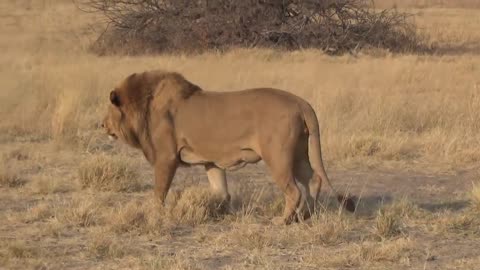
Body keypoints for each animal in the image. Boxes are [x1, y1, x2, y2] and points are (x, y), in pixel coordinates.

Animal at [102, 69, 356, 224]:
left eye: (108, 111)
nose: (101, 124)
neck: (143, 106)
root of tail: (301, 102)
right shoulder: (210, 161)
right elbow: (220, 191)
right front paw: (218, 212)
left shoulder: (166, 157)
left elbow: (159, 192)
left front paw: (155, 214)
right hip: (299, 154)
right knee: (314, 179)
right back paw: (305, 216)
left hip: (277, 156)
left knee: (293, 190)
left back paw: (283, 220)